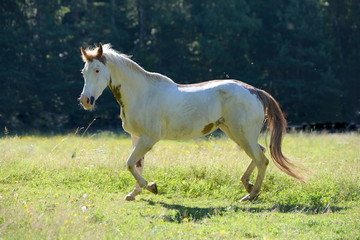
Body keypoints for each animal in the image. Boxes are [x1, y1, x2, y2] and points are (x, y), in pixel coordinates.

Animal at [79, 43, 304, 202]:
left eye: (97, 70)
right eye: (84, 72)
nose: (86, 100)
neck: (142, 93)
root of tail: (255, 91)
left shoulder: (149, 139)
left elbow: (129, 163)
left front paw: (152, 187)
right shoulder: (136, 137)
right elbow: (136, 165)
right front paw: (134, 193)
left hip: (243, 135)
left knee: (262, 160)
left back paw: (251, 194)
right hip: (235, 133)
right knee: (260, 154)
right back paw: (247, 185)